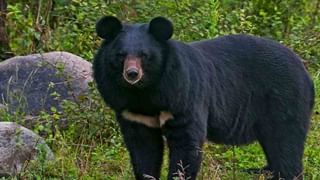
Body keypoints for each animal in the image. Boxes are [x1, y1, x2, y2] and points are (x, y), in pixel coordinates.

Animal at [92, 16, 316, 179]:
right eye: (121, 55)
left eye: (144, 55)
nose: (132, 74)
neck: (144, 93)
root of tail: (305, 71)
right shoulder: (131, 111)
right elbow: (143, 148)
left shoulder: (182, 96)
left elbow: (186, 143)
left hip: (285, 99)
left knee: (286, 142)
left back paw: (285, 173)